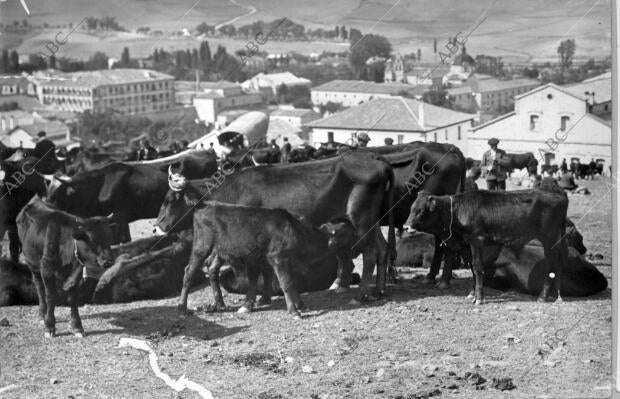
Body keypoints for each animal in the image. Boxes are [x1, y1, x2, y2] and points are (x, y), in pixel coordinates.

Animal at [16, 197, 116, 338]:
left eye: (110, 237)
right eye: (91, 239)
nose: (109, 261)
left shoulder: (77, 271)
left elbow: (73, 297)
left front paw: (77, 326)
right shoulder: (46, 268)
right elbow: (51, 296)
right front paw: (49, 326)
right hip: (32, 265)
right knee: (40, 289)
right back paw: (42, 315)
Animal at [157, 151, 394, 306]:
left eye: (170, 200)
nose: (158, 226)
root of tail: (378, 160)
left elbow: (255, 270)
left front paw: (255, 299)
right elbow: (263, 268)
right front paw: (264, 297)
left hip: (362, 220)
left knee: (370, 253)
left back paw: (361, 294)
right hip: (372, 221)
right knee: (383, 248)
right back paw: (378, 290)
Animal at [406, 189, 572, 304]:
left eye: (421, 211)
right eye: (411, 208)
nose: (406, 226)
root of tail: (560, 194)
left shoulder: (476, 240)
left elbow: (477, 267)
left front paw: (479, 298)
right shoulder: (468, 245)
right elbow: (473, 269)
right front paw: (473, 294)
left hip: (549, 238)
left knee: (552, 265)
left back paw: (543, 297)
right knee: (559, 263)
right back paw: (556, 295)